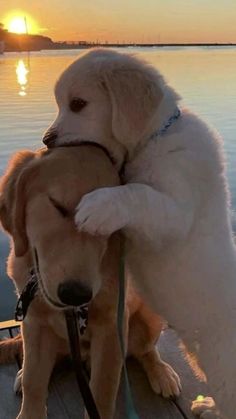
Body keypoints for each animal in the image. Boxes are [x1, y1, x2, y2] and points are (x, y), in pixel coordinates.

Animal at [43, 48, 235, 416]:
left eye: (78, 104)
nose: (47, 141)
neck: (155, 138)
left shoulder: (175, 210)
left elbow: (138, 193)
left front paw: (98, 206)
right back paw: (208, 407)